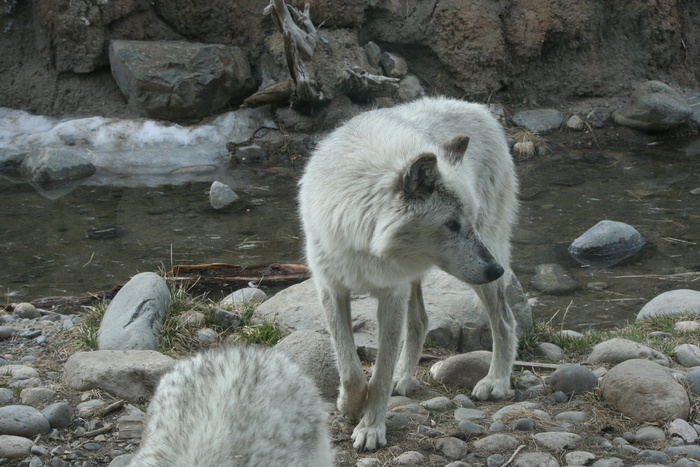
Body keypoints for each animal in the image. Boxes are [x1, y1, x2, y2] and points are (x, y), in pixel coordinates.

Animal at [298, 96, 524, 454]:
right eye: (451, 224)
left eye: (469, 222)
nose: (496, 270)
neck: (365, 237)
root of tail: (478, 107)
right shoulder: (331, 288)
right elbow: (349, 367)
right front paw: (350, 404)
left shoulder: (391, 293)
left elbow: (379, 373)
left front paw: (371, 427)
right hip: (420, 279)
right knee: (420, 321)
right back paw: (403, 379)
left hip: (477, 270)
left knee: (504, 320)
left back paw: (496, 382)